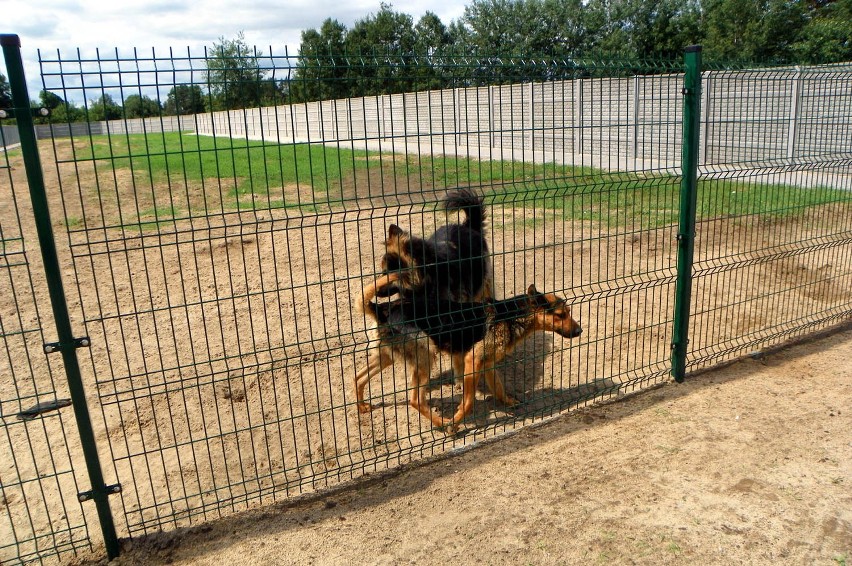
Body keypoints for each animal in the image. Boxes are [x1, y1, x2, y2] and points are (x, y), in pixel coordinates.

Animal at [354, 274, 584, 430]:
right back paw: (442, 422)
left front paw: (510, 402)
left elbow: (499, 389)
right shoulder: (472, 362)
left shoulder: (488, 364)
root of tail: (382, 309)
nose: (579, 331)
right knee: (415, 400)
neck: (510, 317)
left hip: (386, 357)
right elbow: (468, 403)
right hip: (426, 358)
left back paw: (362, 407)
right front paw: (454, 424)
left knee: (358, 378)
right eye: (560, 315)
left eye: (569, 312)